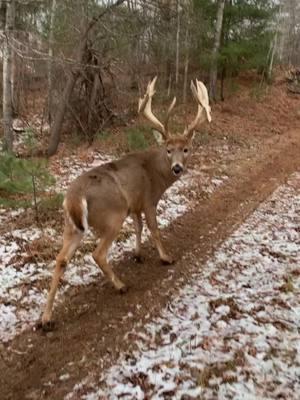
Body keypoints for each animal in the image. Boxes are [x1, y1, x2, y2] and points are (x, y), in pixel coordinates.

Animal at [41, 76, 211, 330]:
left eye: (186, 149)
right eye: (168, 149)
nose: (177, 168)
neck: (154, 172)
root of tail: (74, 196)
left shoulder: (135, 206)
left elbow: (138, 228)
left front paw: (138, 254)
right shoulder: (148, 200)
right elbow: (154, 229)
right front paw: (166, 257)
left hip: (72, 226)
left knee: (61, 259)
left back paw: (46, 318)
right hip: (112, 215)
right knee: (98, 254)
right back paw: (121, 285)